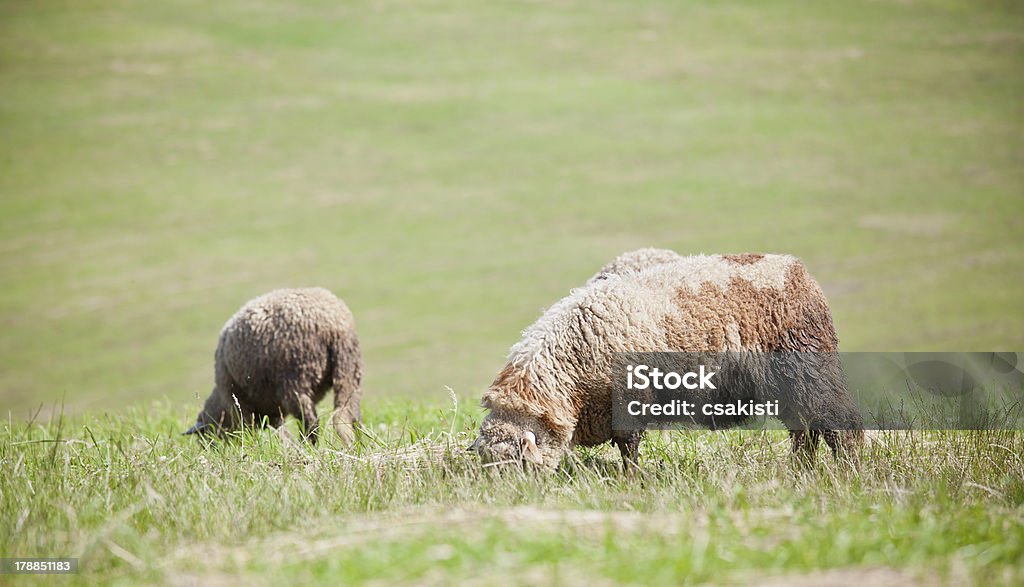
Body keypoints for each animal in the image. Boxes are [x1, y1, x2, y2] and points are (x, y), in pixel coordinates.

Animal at [184, 286, 364, 444]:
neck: (221, 403)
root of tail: (332, 326)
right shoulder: (274, 413)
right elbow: (279, 430)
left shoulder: (237, 402)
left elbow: (250, 429)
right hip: (349, 370)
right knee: (350, 414)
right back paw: (358, 443)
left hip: (296, 379)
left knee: (311, 422)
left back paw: (309, 445)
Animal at [475, 252, 860, 471]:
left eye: (516, 464)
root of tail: (797, 270)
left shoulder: (629, 400)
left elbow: (628, 447)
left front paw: (632, 480)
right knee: (805, 428)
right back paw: (800, 471)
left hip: (807, 368)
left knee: (835, 422)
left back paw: (846, 470)